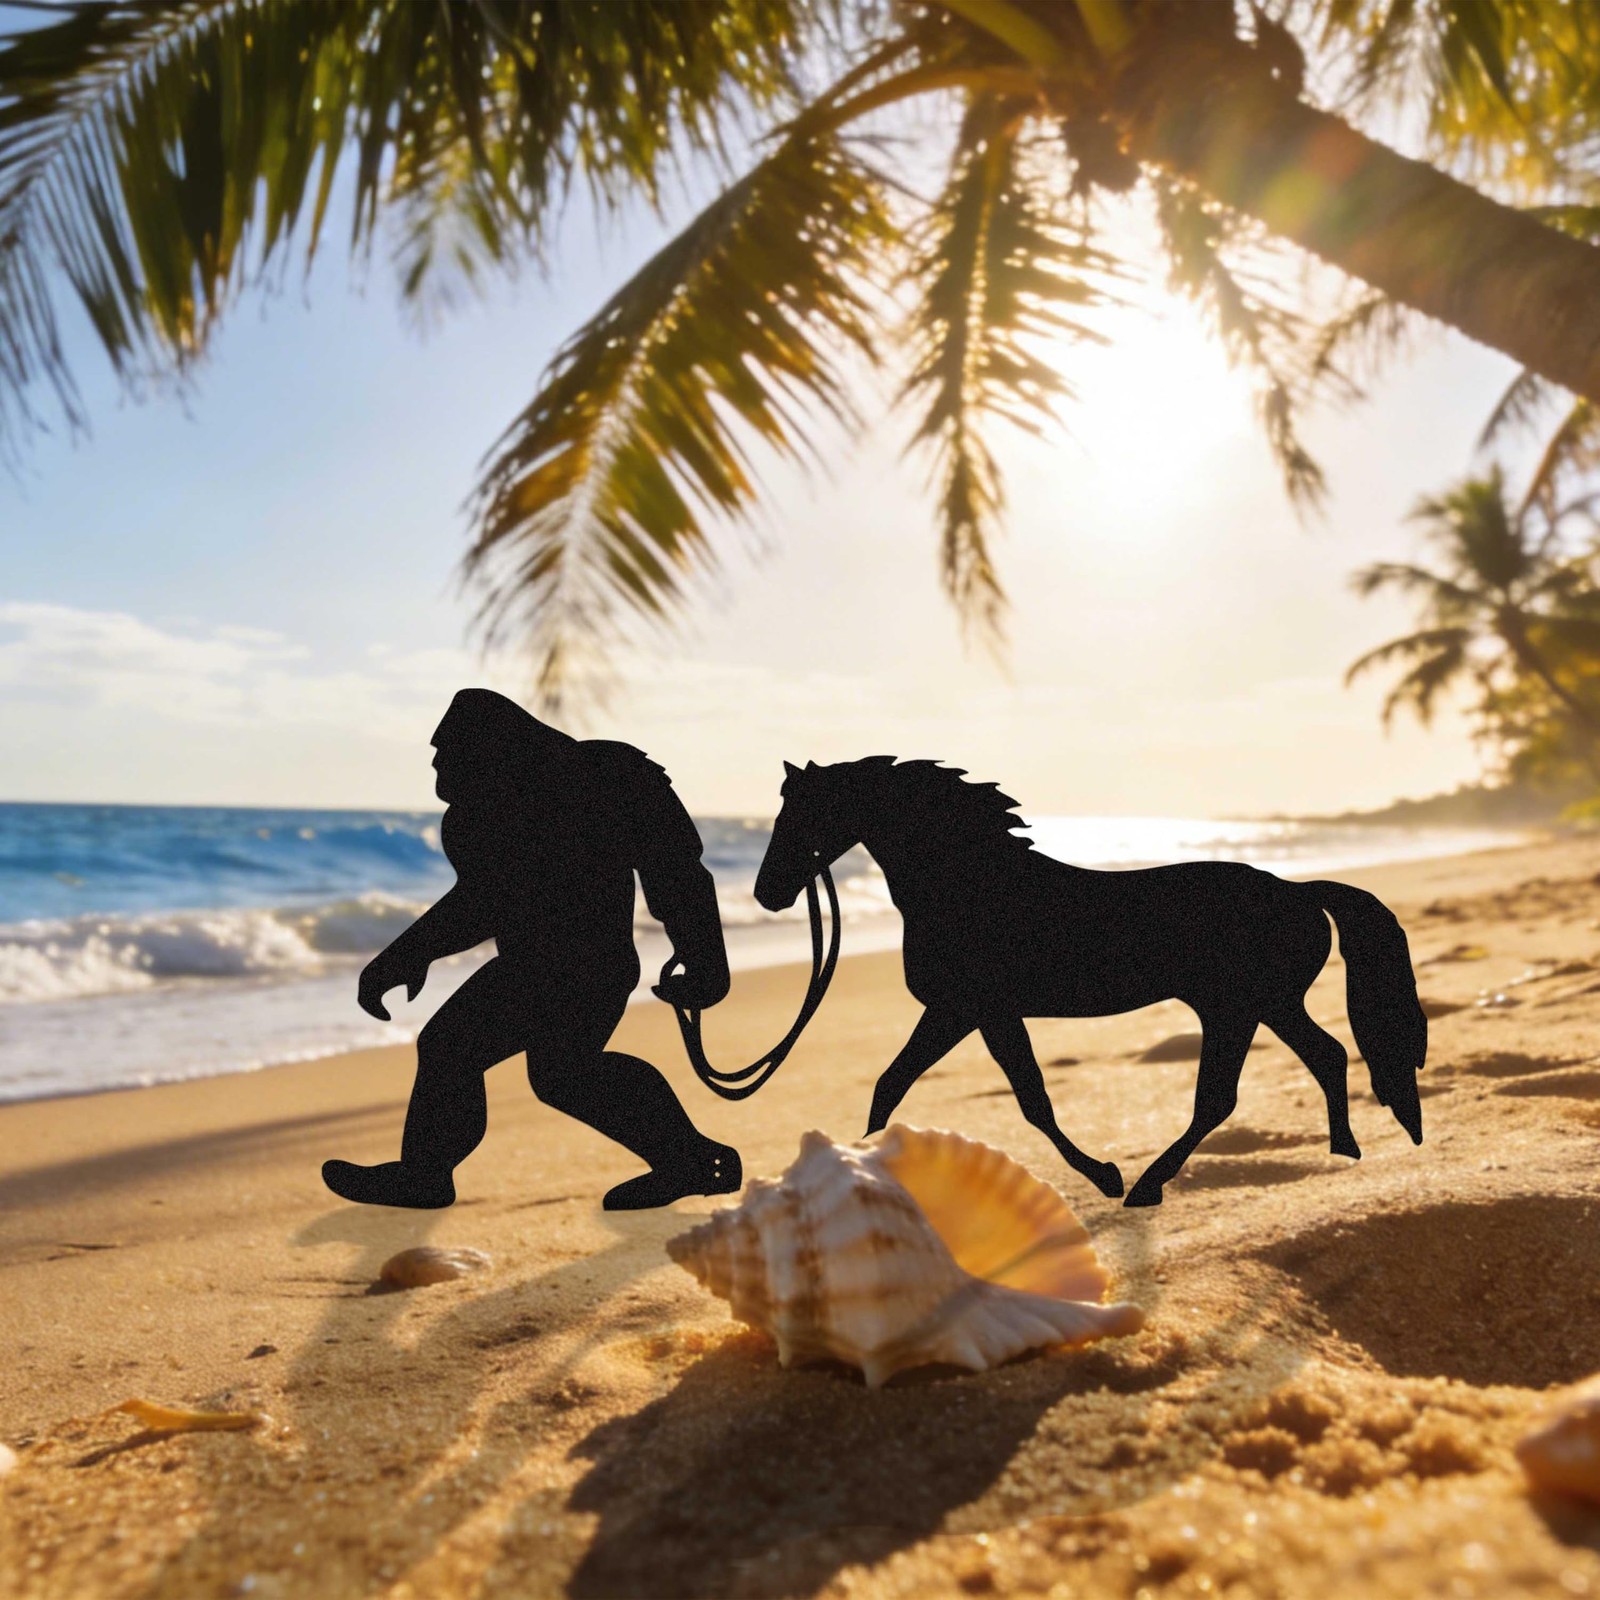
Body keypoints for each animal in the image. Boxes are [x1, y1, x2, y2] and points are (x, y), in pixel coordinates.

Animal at [752, 757, 1427, 1207]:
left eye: (800, 814)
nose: (766, 894)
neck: (971, 886)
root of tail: (1297, 889)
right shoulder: (963, 1013)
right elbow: (893, 1087)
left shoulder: (975, 1010)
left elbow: (1030, 1101)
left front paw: (1105, 1175)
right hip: (1269, 1005)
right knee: (1328, 1054)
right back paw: (1342, 1149)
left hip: (1235, 1008)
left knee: (1221, 1097)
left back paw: (1146, 1186)